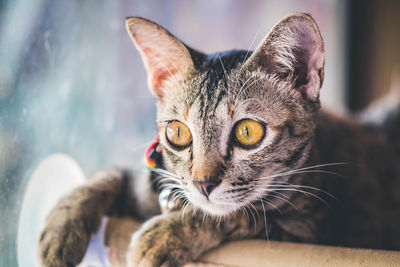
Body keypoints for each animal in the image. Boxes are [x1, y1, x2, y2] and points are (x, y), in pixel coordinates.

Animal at [38, 13, 400, 266]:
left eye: (248, 132)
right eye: (177, 132)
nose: (202, 184)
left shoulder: (307, 229)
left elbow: (239, 215)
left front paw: (168, 234)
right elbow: (112, 174)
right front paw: (60, 226)